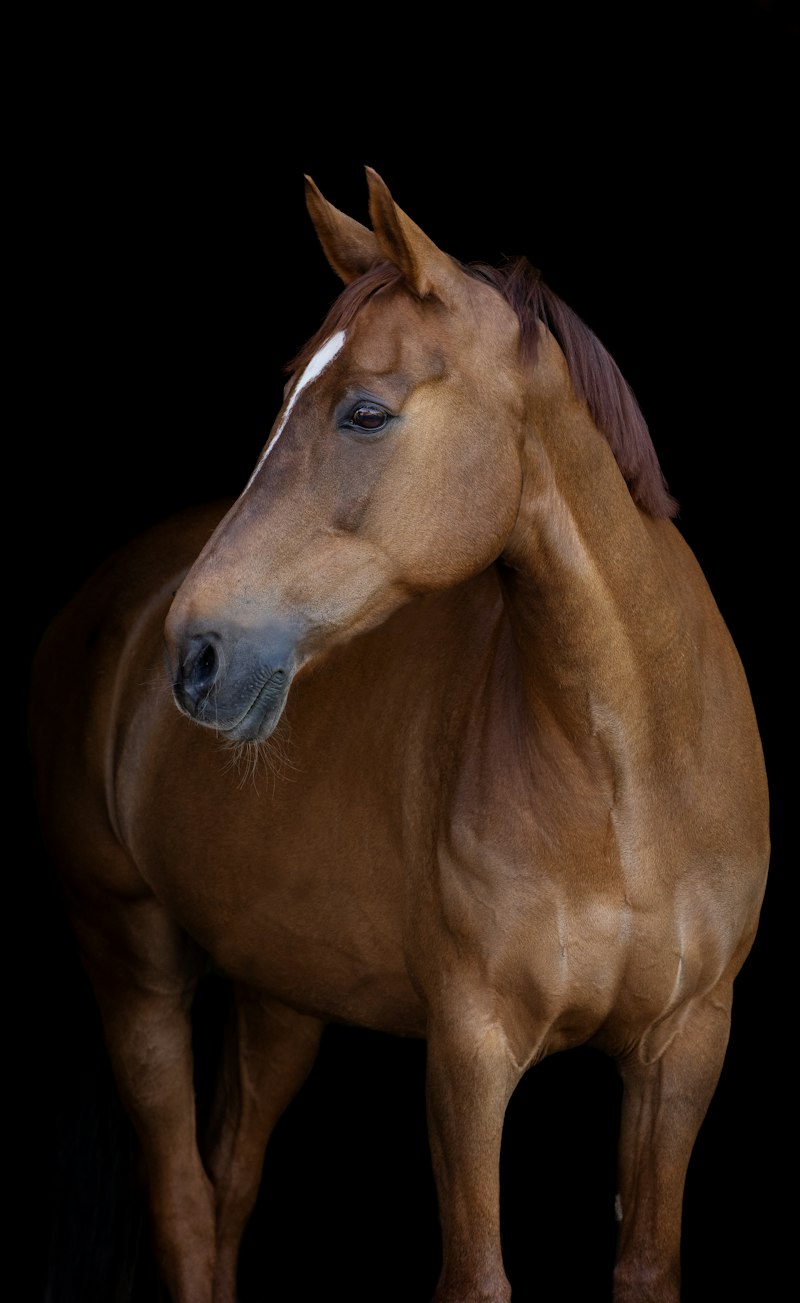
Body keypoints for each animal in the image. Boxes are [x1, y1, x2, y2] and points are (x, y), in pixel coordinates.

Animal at [28, 165, 770, 1302]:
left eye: (365, 412)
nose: (195, 655)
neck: (630, 776)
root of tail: (102, 601)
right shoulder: (469, 1051)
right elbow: (476, 1275)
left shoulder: (684, 1048)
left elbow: (647, 1264)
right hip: (132, 965)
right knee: (187, 1208)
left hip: (280, 994)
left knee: (228, 1186)